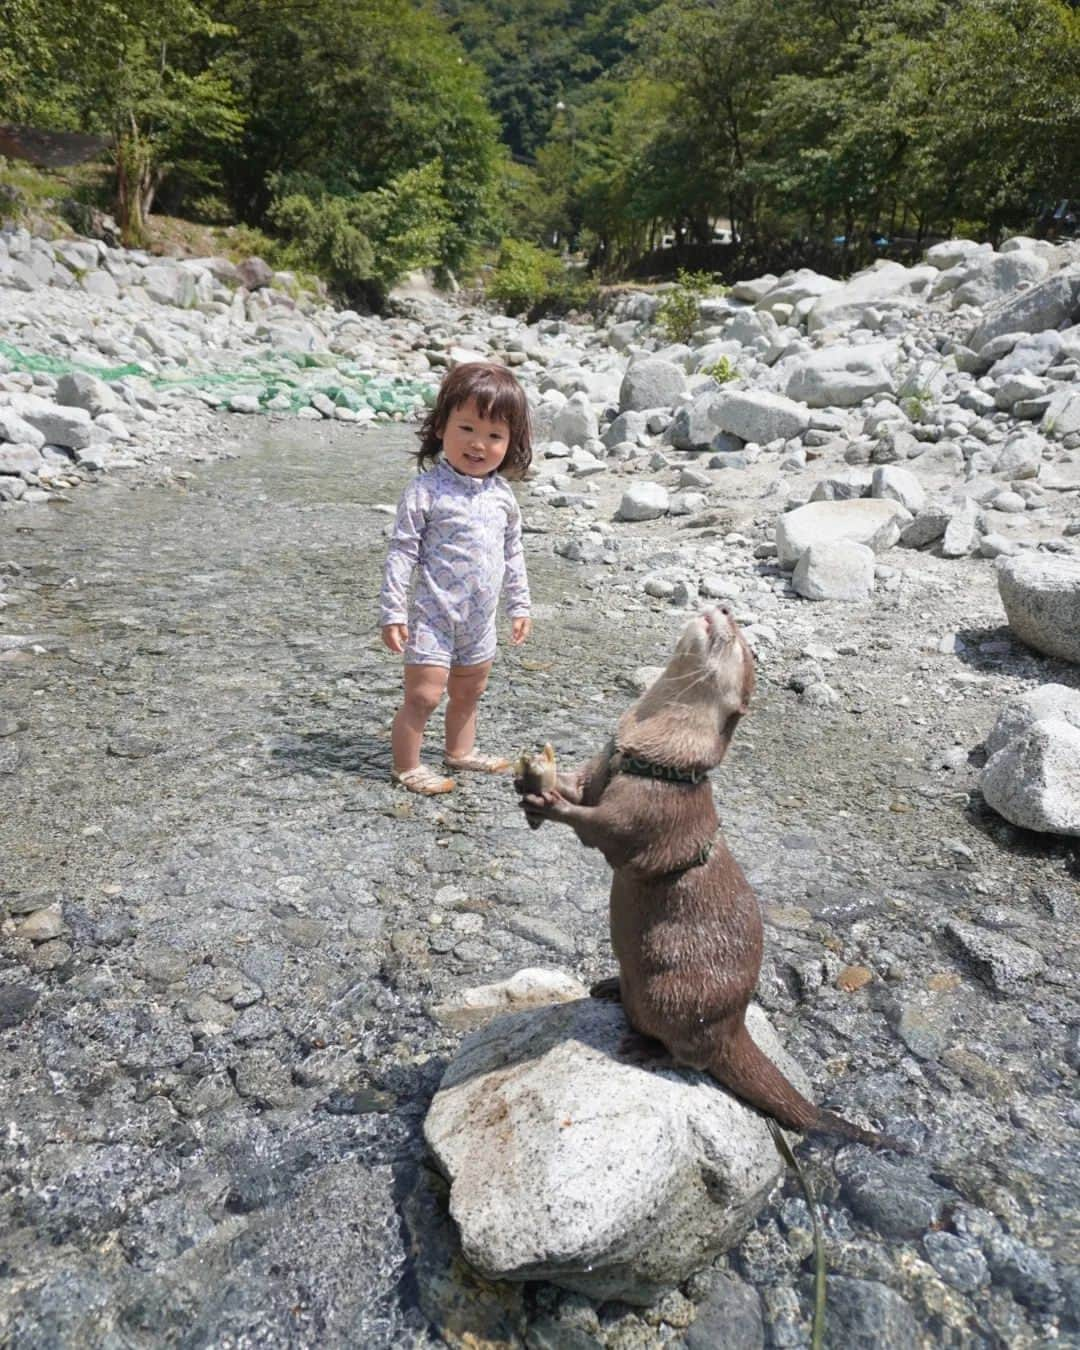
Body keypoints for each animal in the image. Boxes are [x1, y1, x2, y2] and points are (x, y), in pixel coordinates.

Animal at [518, 607, 896, 1144]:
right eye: (735, 623)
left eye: (739, 641)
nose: (725, 608)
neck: (655, 757)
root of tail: (734, 1026)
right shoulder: (603, 763)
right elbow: (580, 782)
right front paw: (532, 781)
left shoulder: (650, 811)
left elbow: (603, 828)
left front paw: (551, 803)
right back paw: (610, 986)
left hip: (678, 993)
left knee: (693, 1058)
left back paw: (647, 1049)